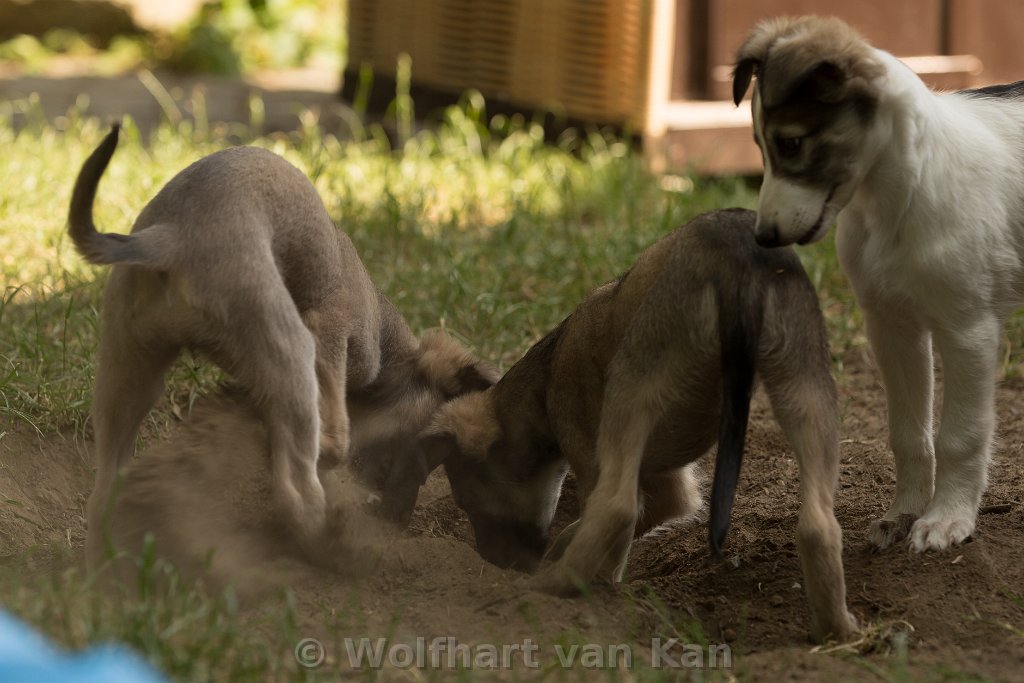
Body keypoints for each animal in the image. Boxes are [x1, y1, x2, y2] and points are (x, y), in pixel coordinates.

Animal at [68, 125, 495, 569]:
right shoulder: (328, 335)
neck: (386, 339)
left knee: (104, 492)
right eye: (426, 446)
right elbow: (333, 439)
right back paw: (332, 549)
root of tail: (169, 238)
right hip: (289, 351)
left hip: (127, 370)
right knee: (296, 492)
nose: (401, 518)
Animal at [399, 209, 856, 647]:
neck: (543, 381)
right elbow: (639, 517)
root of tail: (736, 254)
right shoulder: (670, 485)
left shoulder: (591, 454)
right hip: (806, 380)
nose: (495, 565)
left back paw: (553, 584)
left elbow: (612, 525)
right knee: (818, 524)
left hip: (634, 385)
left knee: (618, 507)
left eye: (468, 501)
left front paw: (584, 577)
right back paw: (836, 629)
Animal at [733, 15, 1024, 552]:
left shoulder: (968, 329)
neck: (899, 195)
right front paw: (904, 512)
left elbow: (959, 435)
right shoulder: (891, 326)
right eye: (760, 147)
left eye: (791, 144)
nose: (763, 238)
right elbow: (908, 434)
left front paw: (947, 518)